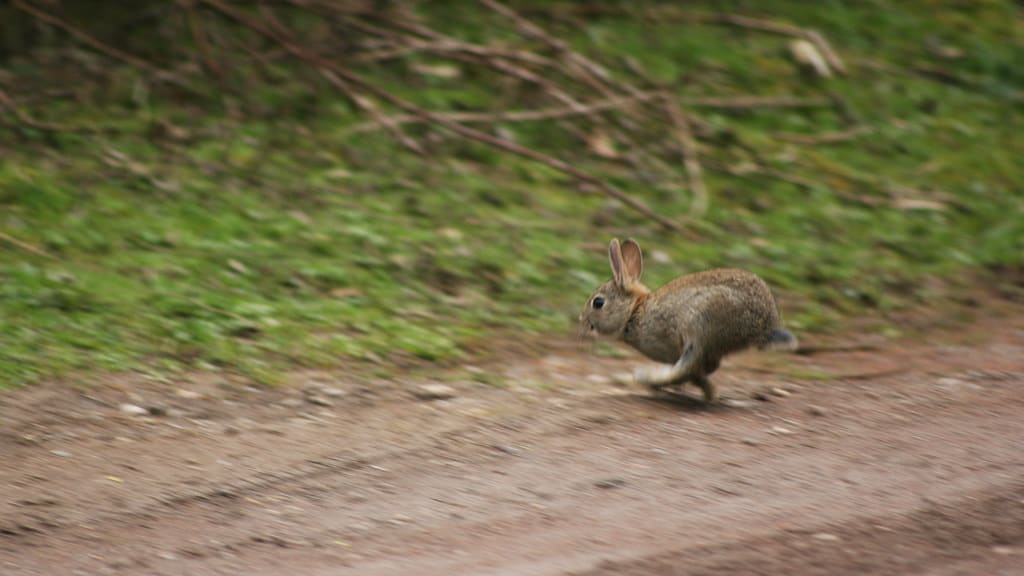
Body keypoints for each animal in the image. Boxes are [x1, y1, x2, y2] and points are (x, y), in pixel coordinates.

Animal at [581, 236, 794, 399]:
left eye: (598, 303)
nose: (582, 323)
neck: (634, 312)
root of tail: (764, 327)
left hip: (702, 323)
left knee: (688, 367)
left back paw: (647, 378)